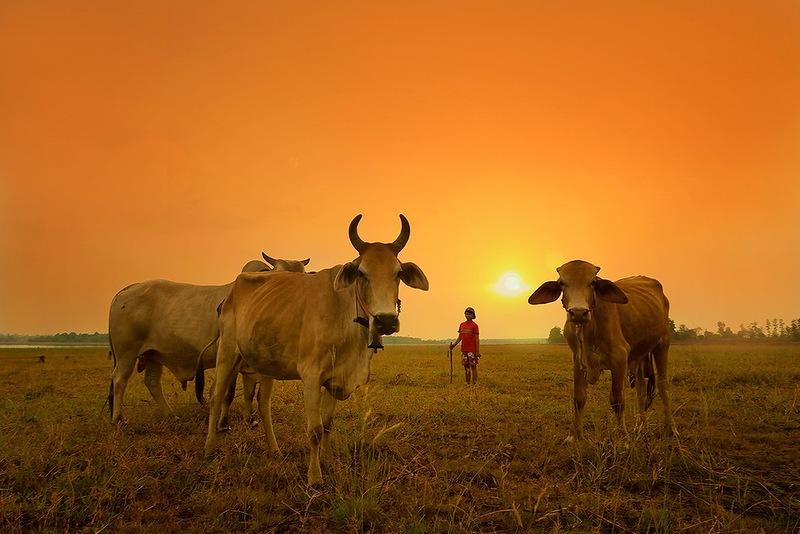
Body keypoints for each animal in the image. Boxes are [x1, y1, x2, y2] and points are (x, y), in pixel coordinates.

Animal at [111, 253, 310, 426]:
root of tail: (127, 289)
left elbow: (249, 392)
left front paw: (249, 420)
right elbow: (227, 393)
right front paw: (223, 423)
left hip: (153, 355)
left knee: (152, 382)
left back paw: (171, 416)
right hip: (127, 353)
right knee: (120, 380)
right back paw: (119, 419)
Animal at [206, 216, 432, 488]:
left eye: (398, 273)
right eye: (361, 273)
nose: (385, 321)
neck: (345, 318)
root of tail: (233, 288)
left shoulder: (335, 379)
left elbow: (326, 425)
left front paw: (328, 460)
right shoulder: (312, 376)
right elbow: (313, 430)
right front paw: (315, 477)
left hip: (265, 363)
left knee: (263, 403)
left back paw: (274, 450)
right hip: (227, 352)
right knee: (217, 397)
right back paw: (209, 449)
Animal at [532, 262, 676, 442]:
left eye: (593, 282)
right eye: (561, 283)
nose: (578, 312)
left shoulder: (619, 358)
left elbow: (617, 401)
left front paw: (623, 438)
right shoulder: (577, 360)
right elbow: (578, 398)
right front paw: (574, 436)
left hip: (662, 344)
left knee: (663, 386)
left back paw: (670, 429)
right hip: (639, 355)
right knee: (641, 389)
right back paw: (640, 426)